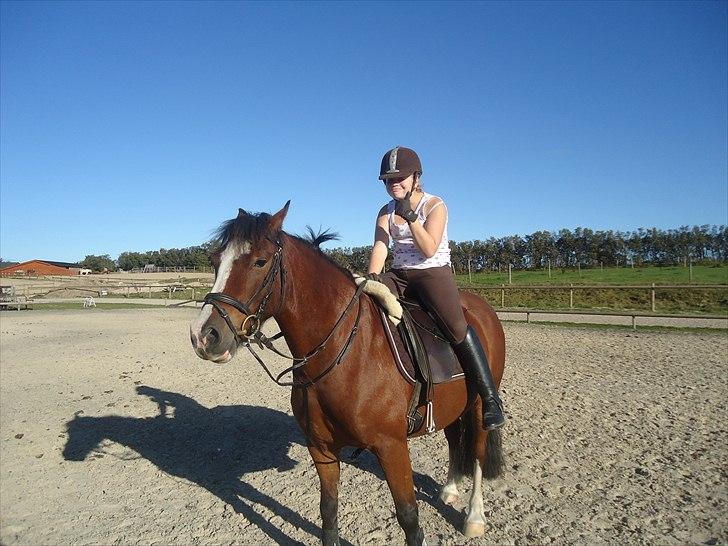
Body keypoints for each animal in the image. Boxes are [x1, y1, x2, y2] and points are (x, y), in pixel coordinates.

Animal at [189, 203, 506, 544]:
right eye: (216, 261)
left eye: (260, 261)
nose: (203, 336)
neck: (344, 353)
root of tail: (479, 307)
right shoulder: (322, 448)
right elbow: (328, 510)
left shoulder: (392, 447)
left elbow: (409, 518)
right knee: (452, 439)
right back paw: (449, 489)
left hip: (478, 404)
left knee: (478, 453)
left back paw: (474, 517)